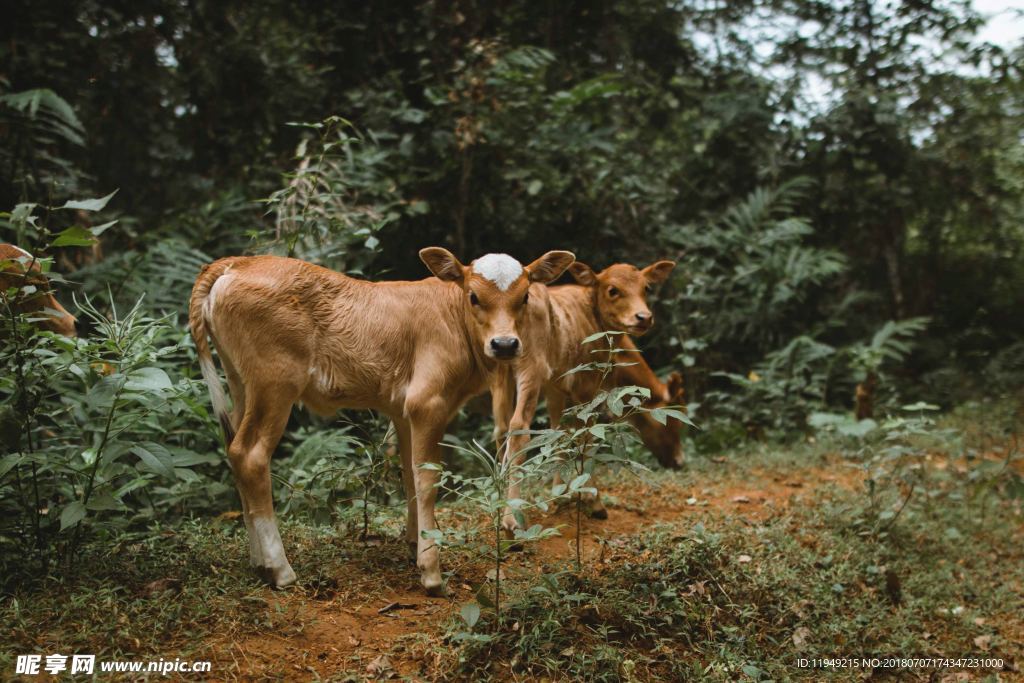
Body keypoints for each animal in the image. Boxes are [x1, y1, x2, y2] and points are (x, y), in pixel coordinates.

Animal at [190, 248, 577, 593]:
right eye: (473, 296)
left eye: (525, 296)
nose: (505, 344)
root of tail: (237, 262)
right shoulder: (427, 403)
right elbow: (427, 481)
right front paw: (431, 570)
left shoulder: (403, 411)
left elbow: (409, 476)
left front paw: (414, 542)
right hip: (275, 384)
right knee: (251, 456)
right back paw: (279, 569)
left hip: (242, 385)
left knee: (234, 452)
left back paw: (258, 564)